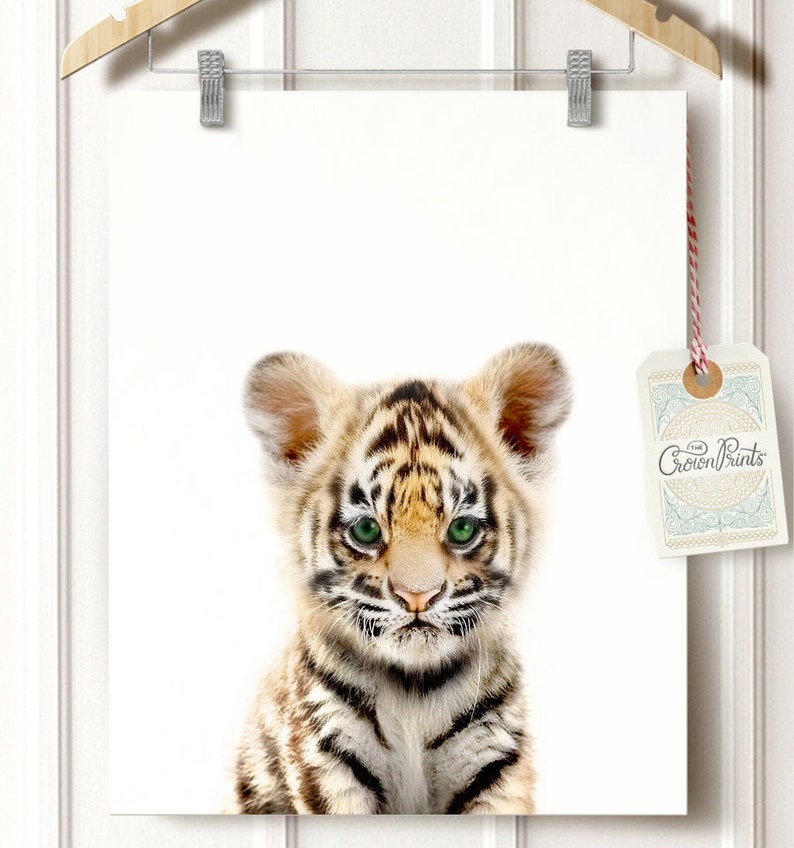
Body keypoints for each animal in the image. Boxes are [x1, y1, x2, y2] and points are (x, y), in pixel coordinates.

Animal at [232, 343, 571, 815]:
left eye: (462, 529)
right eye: (366, 530)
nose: (417, 597)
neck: (414, 690)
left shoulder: (493, 758)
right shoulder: (325, 758)